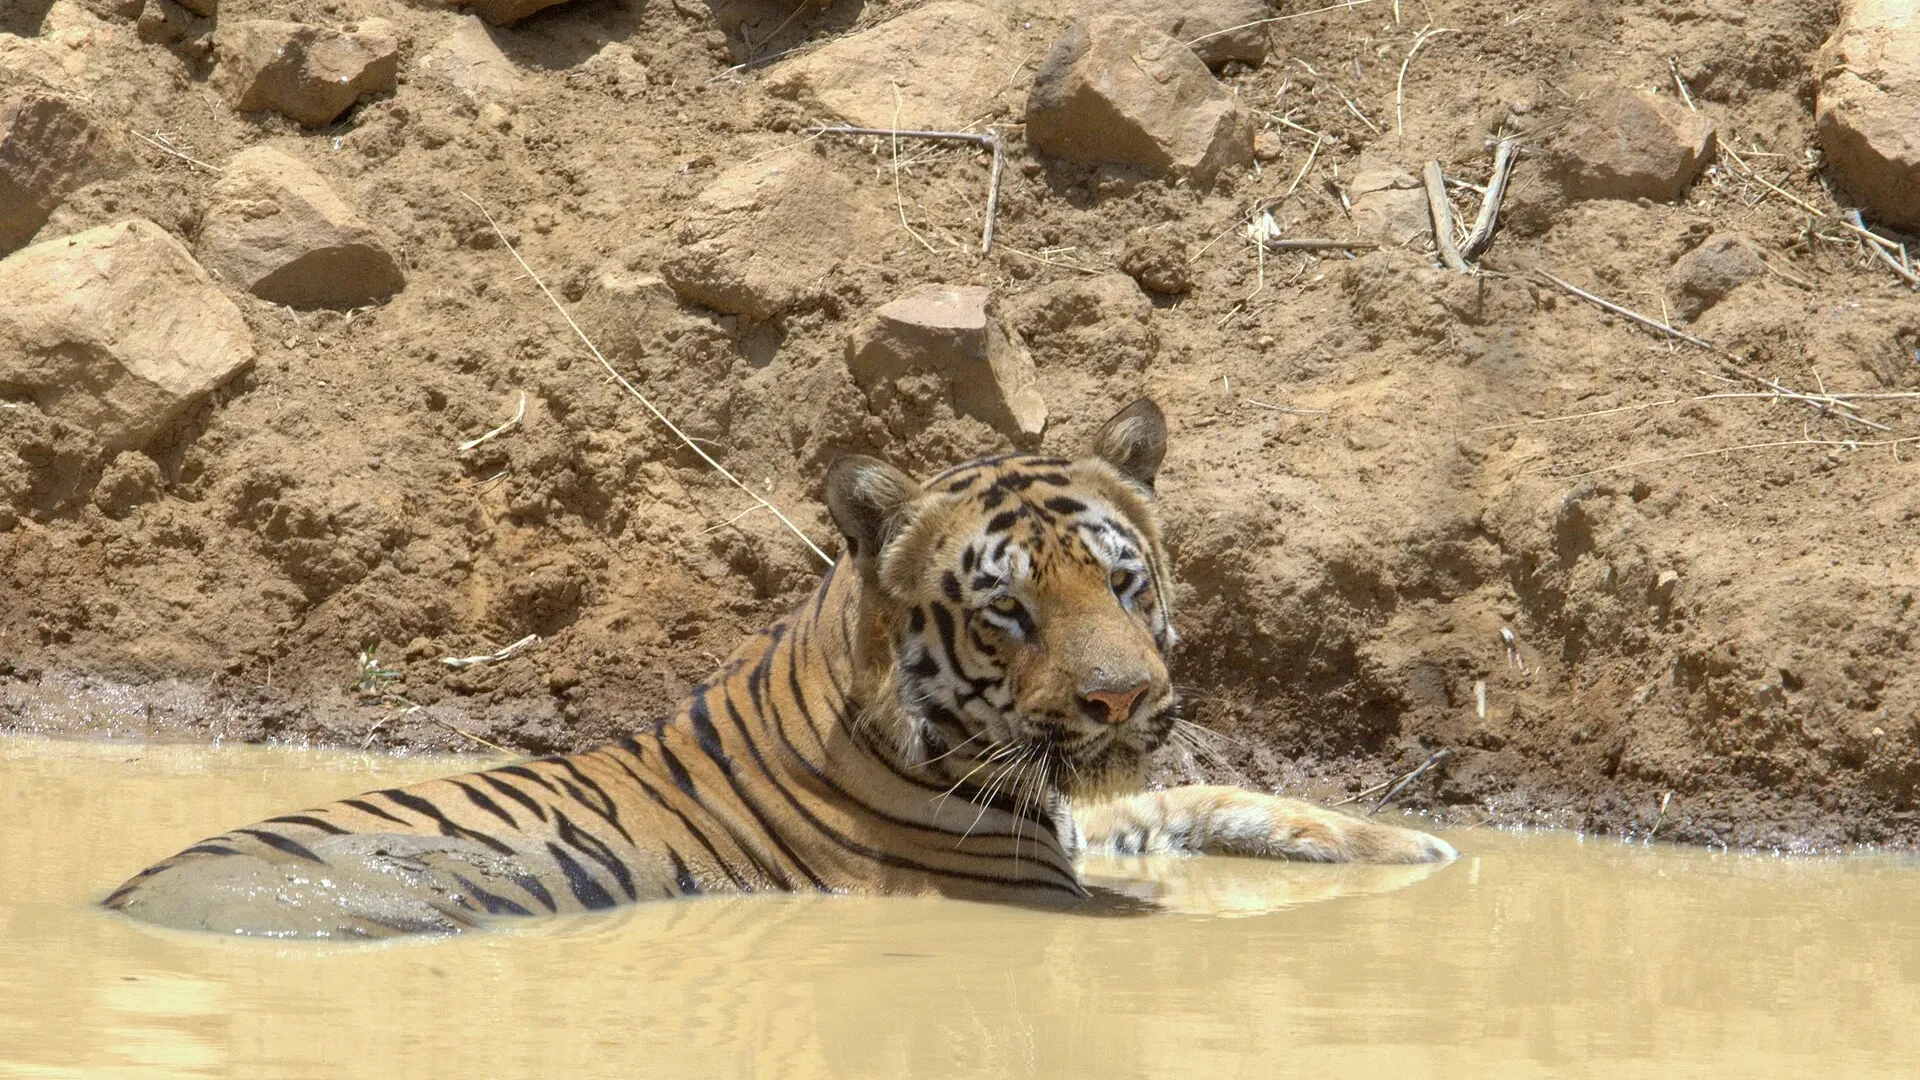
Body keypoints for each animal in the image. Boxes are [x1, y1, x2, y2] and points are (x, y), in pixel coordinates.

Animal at [105, 399, 1454, 938]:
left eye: (1122, 583)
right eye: (1009, 611)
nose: (1122, 699)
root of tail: (115, 902)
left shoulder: (1079, 809)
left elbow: (1209, 798)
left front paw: (1419, 849)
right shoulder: (1026, 887)